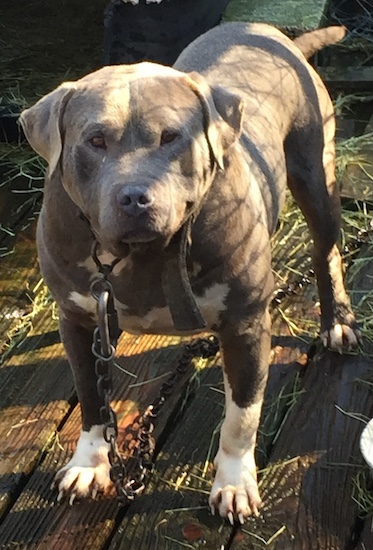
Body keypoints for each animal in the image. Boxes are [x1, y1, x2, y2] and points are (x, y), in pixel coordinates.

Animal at [19, 21, 358, 524]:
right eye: (95, 140)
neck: (143, 256)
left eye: (171, 136)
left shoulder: (245, 324)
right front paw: (88, 465)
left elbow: (242, 415)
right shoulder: (79, 321)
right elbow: (92, 398)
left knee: (327, 252)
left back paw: (337, 321)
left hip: (317, 175)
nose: (135, 197)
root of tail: (273, 33)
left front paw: (234, 484)